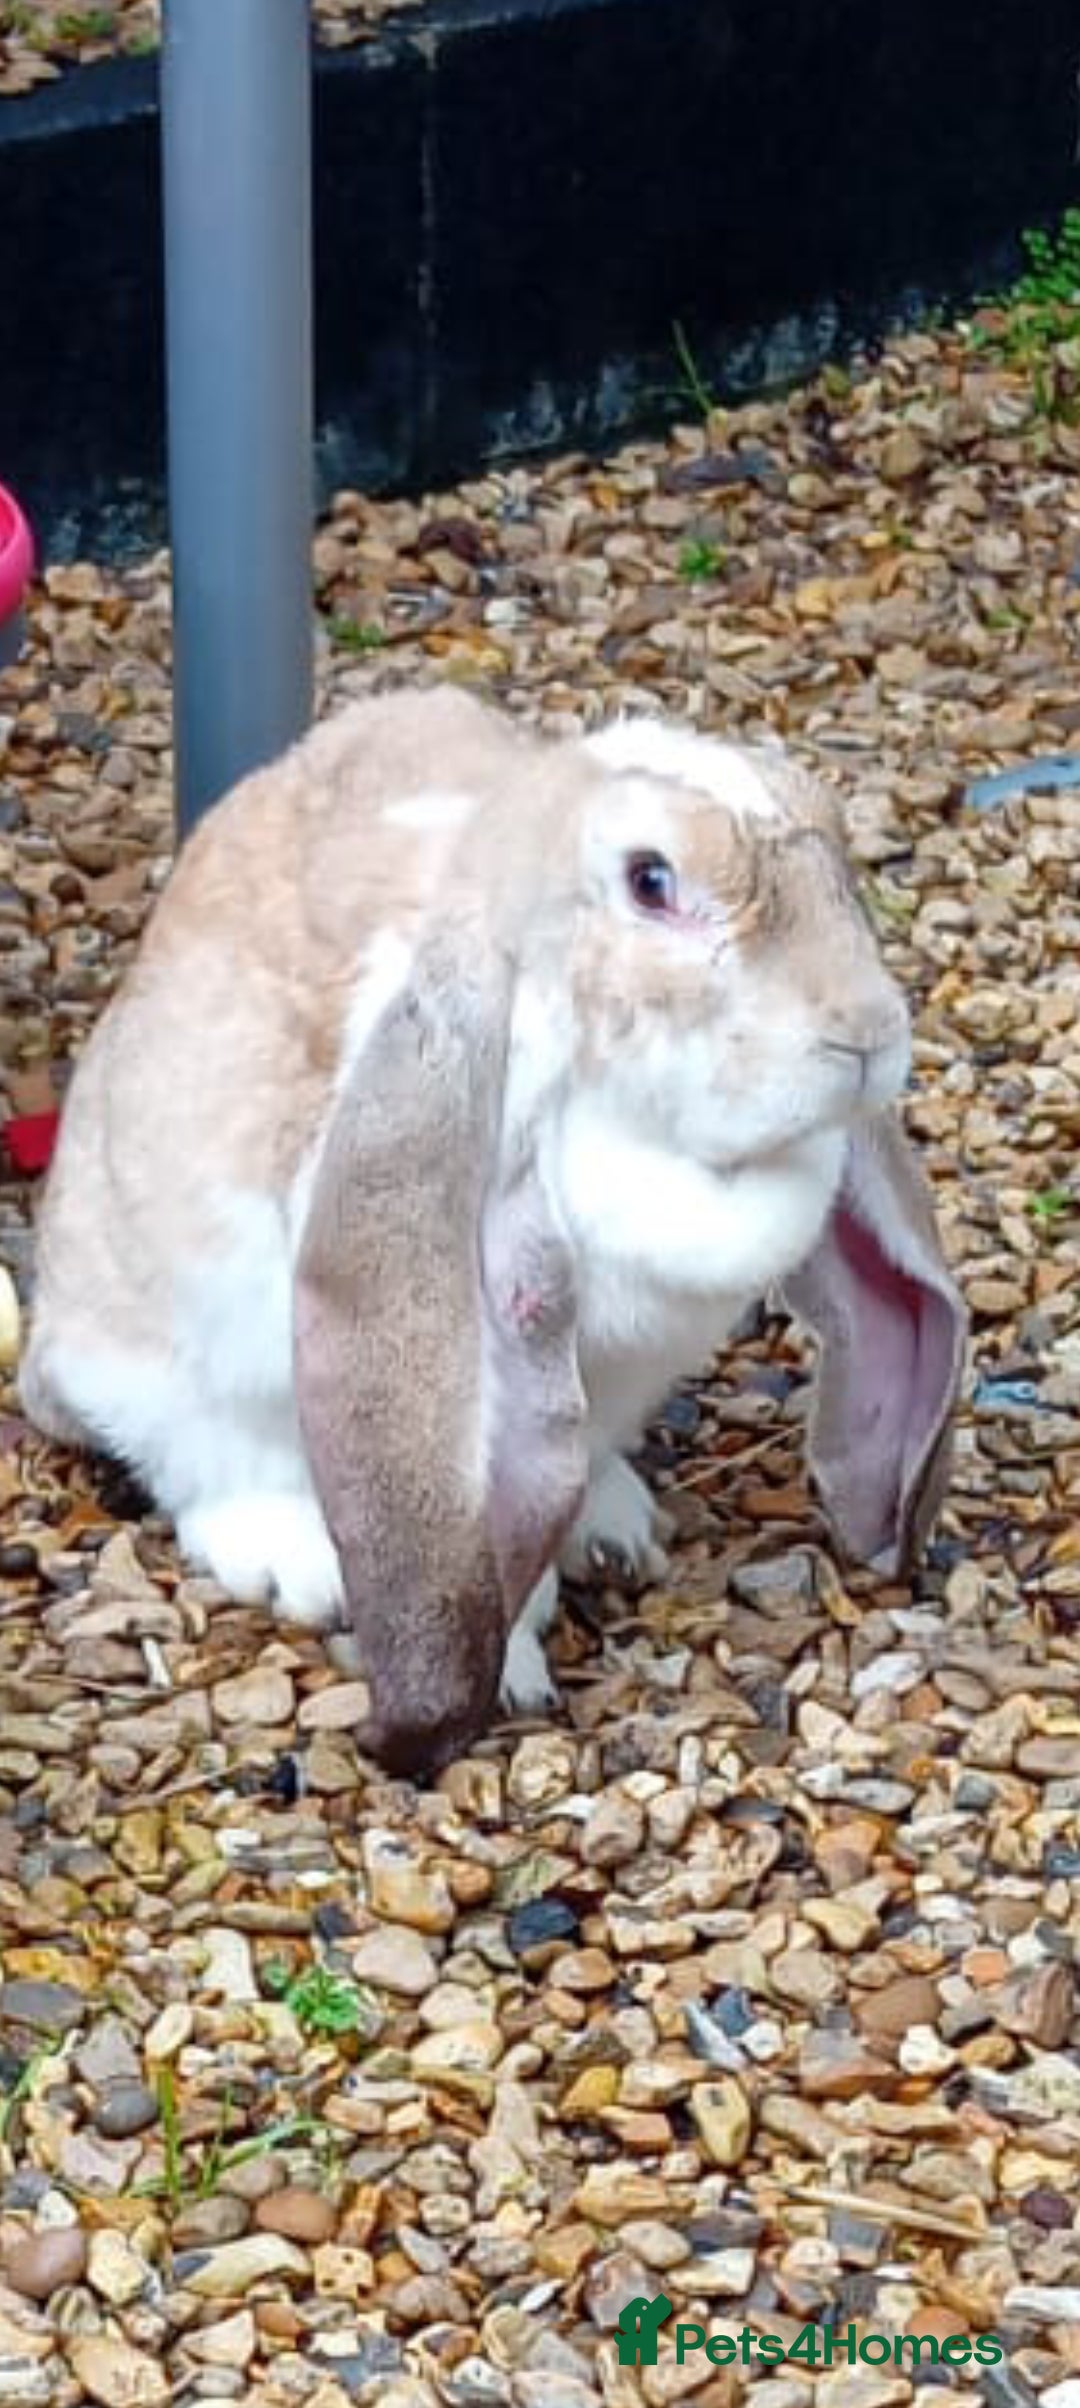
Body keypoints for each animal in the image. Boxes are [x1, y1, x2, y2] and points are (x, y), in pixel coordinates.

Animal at [21, 685, 967, 1774]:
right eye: (651, 880)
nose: (866, 1032)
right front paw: (507, 1674)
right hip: (181, 1358)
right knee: (204, 1456)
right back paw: (300, 1558)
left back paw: (611, 1523)